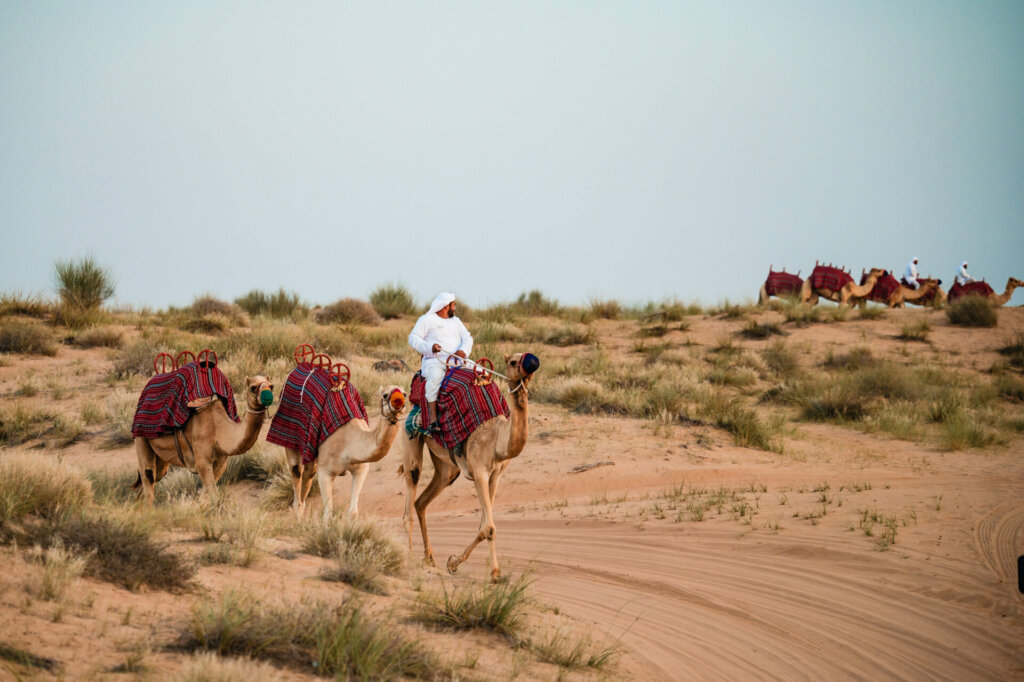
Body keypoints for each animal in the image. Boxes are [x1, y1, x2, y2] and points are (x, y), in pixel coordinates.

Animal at [134, 375, 273, 505]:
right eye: (253, 388)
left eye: (271, 386)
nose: (268, 397)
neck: (218, 427)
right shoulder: (202, 461)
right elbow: (214, 496)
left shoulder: (220, 462)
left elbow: (205, 495)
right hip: (140, 438)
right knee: (148, 478)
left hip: (161, 458)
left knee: (151, 482)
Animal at [288, 385, 407, 518]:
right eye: (385, 395)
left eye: (405, 394)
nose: (399, 401)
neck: (349, 442)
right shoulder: (324, 472)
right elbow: (328, 515)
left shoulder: (361, 469)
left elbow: (353, 512)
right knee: (296, 472)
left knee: (308, 474)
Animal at [399, 352, 539, 582]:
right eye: (513, 362)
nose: (531, 363)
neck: (496, 437)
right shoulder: (479, 470)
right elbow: (489, 528)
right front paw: (495, 574)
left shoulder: (495, 475)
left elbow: (483, 526)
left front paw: (453, 562)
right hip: (409, 435)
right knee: (411, 490)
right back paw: (410, 559)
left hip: (447, 468)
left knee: (422, 502)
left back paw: (429, 558)